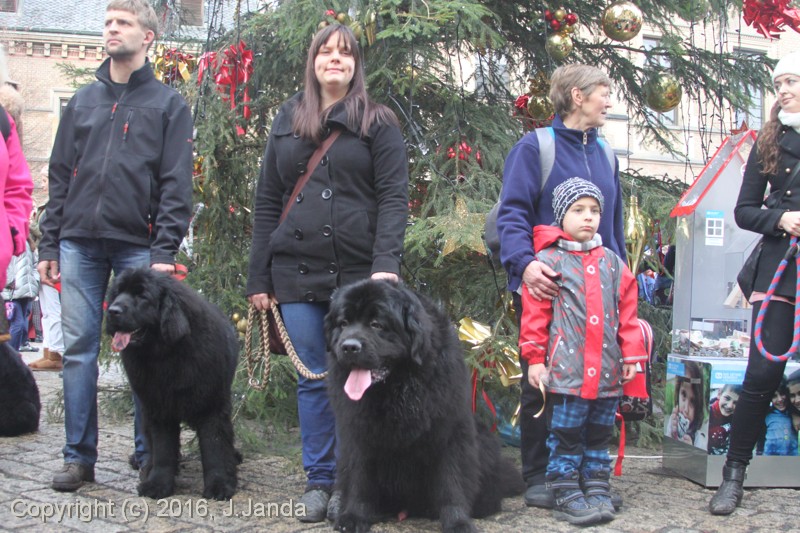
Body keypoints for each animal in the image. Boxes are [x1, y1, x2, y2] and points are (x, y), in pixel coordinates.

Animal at [106, 268, 239, 500]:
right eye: (117, 293)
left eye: (142, 296)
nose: (112, 310)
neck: (166, 355)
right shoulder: (158, 407)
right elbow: (163, 450)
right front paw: (158, 484)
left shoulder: (212, 406)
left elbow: (214, 448)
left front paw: (220, 485)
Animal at [325, 279, 525, 533]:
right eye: (343, 323)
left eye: (376, 324)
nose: (349, 347)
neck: (398, 389)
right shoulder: (358, 432)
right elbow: (360, 478)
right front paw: (354, 516)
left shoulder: (450, 430)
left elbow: (452, 480)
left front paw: (457, 521)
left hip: (484, 440)